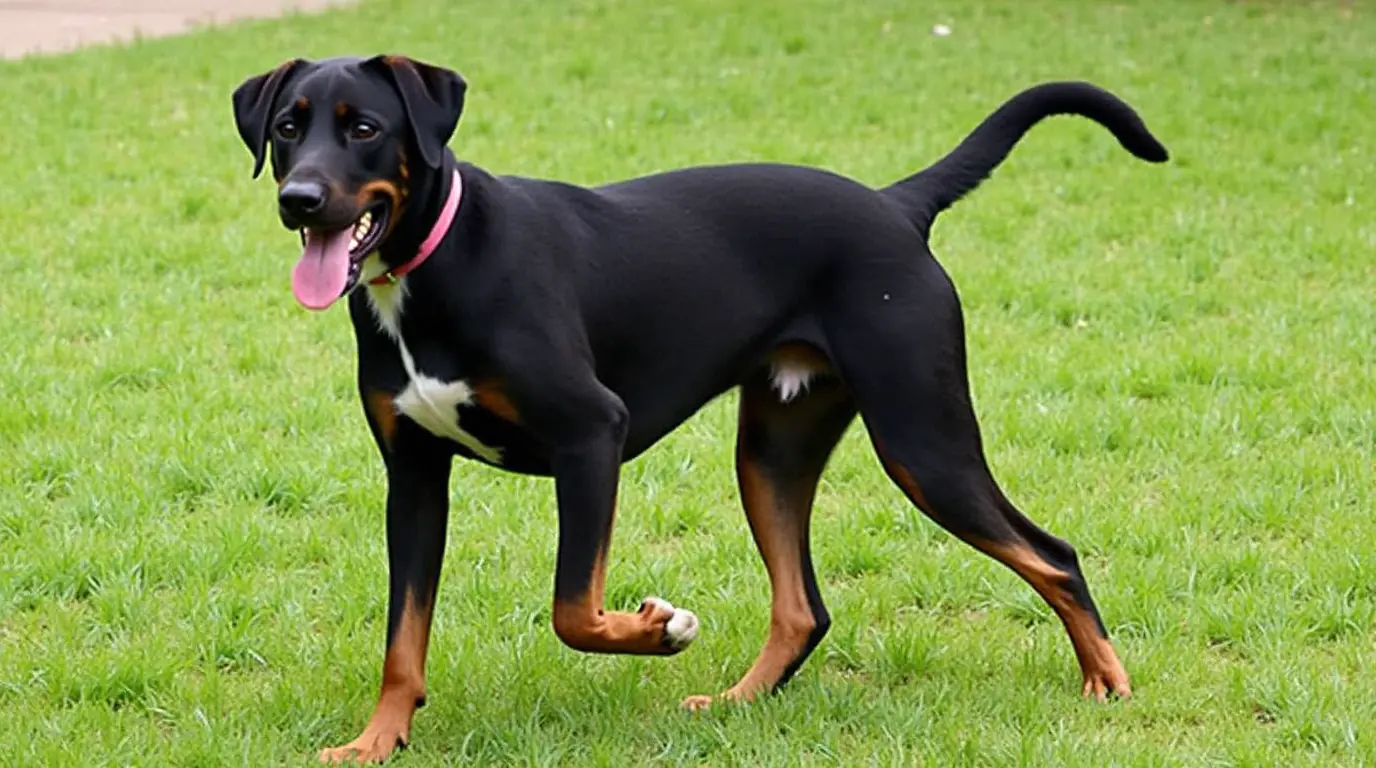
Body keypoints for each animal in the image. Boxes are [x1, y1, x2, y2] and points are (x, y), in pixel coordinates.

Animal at [233, 55, 1161, 765]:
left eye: (363, 128)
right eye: (287, 129)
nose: (299, 200)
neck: (435, 265)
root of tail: (896, 204)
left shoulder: (589, 436)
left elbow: (574, 611)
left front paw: (660, 630)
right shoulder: (416, 479)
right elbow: (403, 640)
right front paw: (376, 741)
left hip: (923, 441)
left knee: (1054, 554)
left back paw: (1108, 681)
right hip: (774, 450)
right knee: (803, 609)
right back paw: (738, 702)